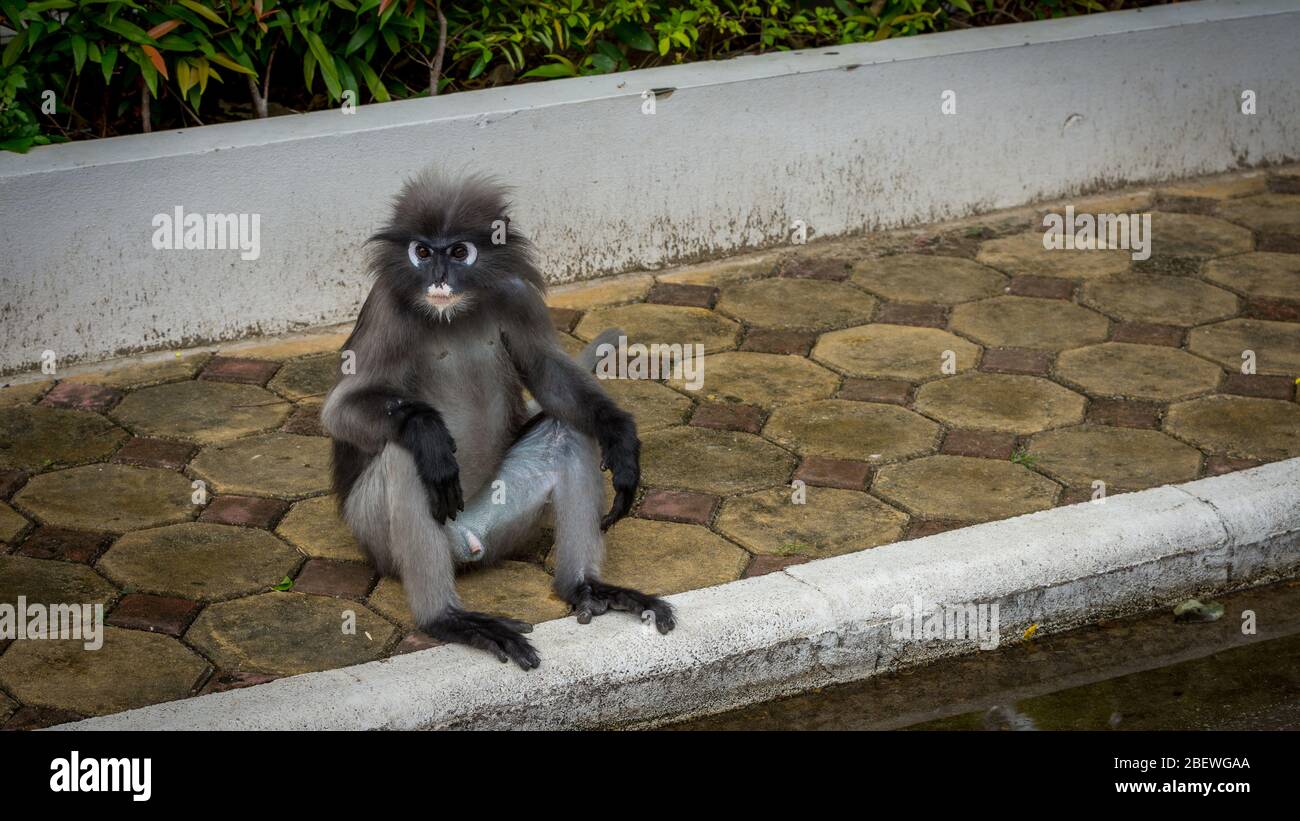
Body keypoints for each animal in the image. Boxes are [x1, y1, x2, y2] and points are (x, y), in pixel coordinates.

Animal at [321, 170, 676, 670]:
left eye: (458, 253)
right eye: (422, 252)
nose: (438, 278)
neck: (453, 313)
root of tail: (465, 540)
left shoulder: (516, 294)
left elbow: (547, 374)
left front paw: (621, 438)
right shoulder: (387, 308)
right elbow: (340, 412)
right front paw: (427, 432)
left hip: (503, 521)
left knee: (568, 428)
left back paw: (585, 586)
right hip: (377, 538)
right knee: (406, 454)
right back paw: (446, 618)